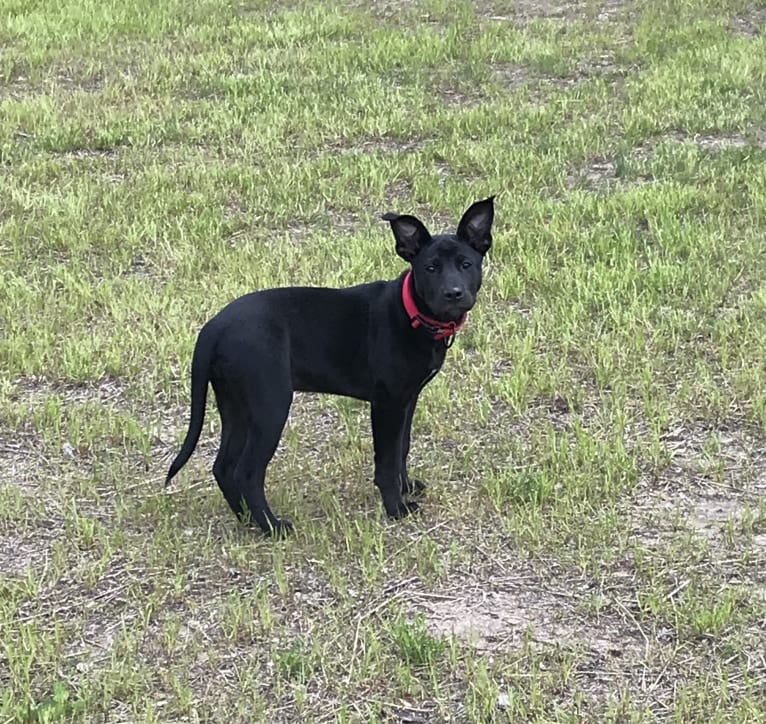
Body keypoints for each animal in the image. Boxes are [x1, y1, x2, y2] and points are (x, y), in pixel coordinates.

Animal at [165, 195, 496, 536]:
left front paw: (406, 487)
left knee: (224, 466)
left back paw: (248, 520)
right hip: (270, 404)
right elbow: (386, 460)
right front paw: (396, 507)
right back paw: (273, 527)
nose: (453, 294)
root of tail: (214, 327)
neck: (412, 313)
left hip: (236, 404)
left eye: (466, 264)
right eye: (430, 268)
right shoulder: (387, 404)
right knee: (246, 472)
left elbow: (401, 448)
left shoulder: (408, 399)